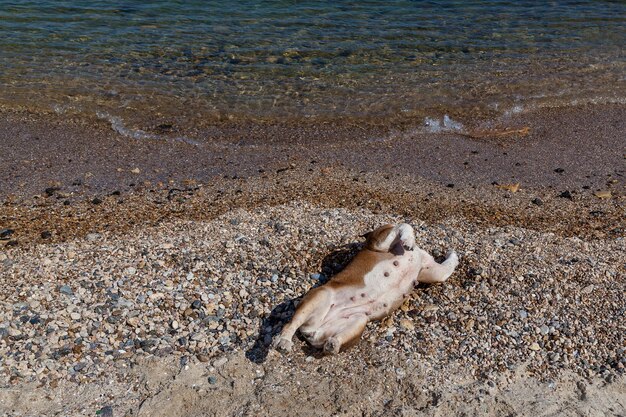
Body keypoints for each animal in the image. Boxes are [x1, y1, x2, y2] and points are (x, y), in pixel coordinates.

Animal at [270, 223, 456, 352]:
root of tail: (312, 330)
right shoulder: (379, 242)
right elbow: (403, 225)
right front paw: (409, 240)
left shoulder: (433, 272)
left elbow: (447, 268)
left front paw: (453, 254)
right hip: (320, 295)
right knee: (291, 324)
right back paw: (284, 342)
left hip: (358, 320)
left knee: (332, 340)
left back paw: (333, 345)